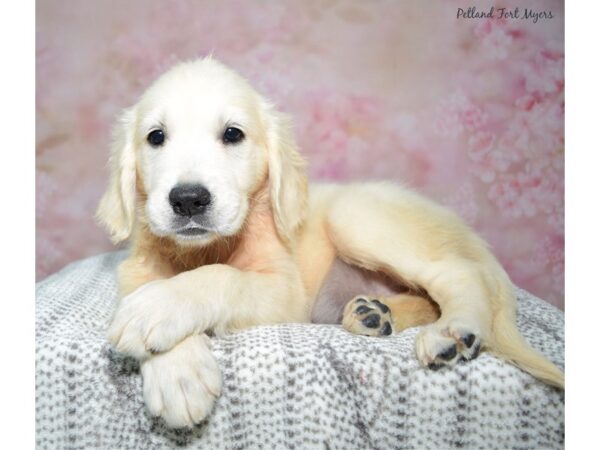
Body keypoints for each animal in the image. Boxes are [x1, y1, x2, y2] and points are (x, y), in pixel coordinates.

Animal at [97, 58, 564, 428]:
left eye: (233, 134)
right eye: (155, 137)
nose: (188, 199)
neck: (203, 248)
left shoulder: (285, 290)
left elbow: (219, 277)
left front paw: (157, 312)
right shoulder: (137, 268)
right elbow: (155, 285)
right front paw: (178, 370)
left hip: (356, 217)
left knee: (457, 273)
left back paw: (453, 329)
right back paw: (373, 314)